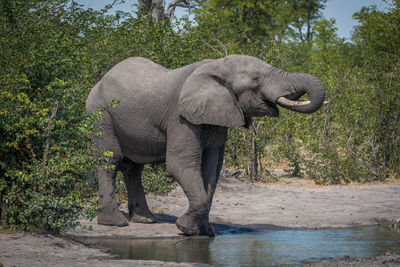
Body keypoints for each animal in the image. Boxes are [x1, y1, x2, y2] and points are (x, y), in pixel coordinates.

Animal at [86, 54, 326, 237]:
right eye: (256, 79)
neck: (217, 66)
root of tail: (100, 80)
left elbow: (212, 168)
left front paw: (205, 232)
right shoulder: (181, 117)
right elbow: (180, 164)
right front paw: (184, 228)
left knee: (134, 168)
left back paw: (145, 220)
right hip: (100, 114)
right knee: (110, 159)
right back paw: (116, 223)